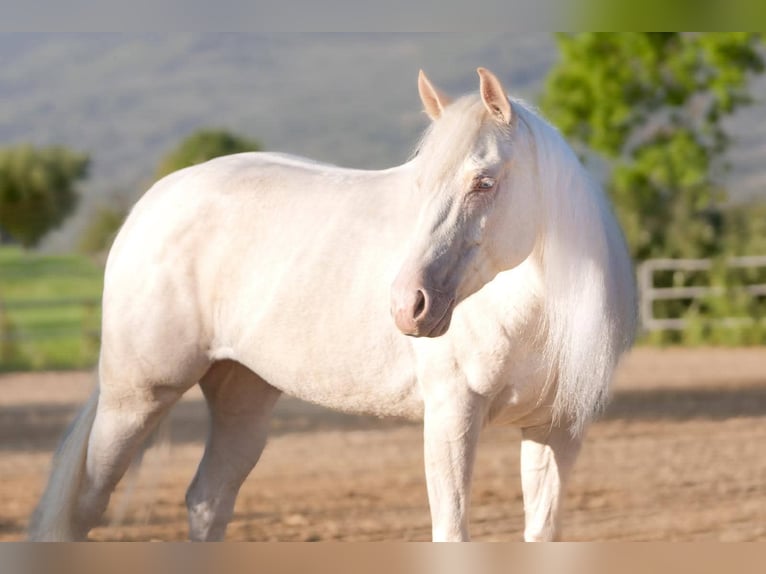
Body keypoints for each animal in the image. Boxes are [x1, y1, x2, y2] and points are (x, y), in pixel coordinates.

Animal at [29, 67, 636, 542]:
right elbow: (453, 531)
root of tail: (150, 204)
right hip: (135, 398)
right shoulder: (452, 416)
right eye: (420, 184)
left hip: (242, 399)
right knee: (85, 509)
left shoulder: (558, 431)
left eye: (484, 182)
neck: (532, 313)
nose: (408, 305)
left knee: (207, 501)